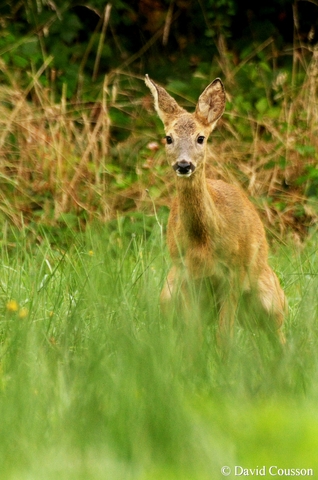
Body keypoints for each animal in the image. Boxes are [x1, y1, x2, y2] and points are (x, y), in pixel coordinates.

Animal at [145, 75, 286, 350]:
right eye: (168, 138)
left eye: (201, 138)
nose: (184, 165)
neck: (203, 241)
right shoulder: (186, 274)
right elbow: (194, 334)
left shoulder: (234, 272)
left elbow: (225, 336)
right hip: (167, 292)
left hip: (271, 297)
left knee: (279, 334)